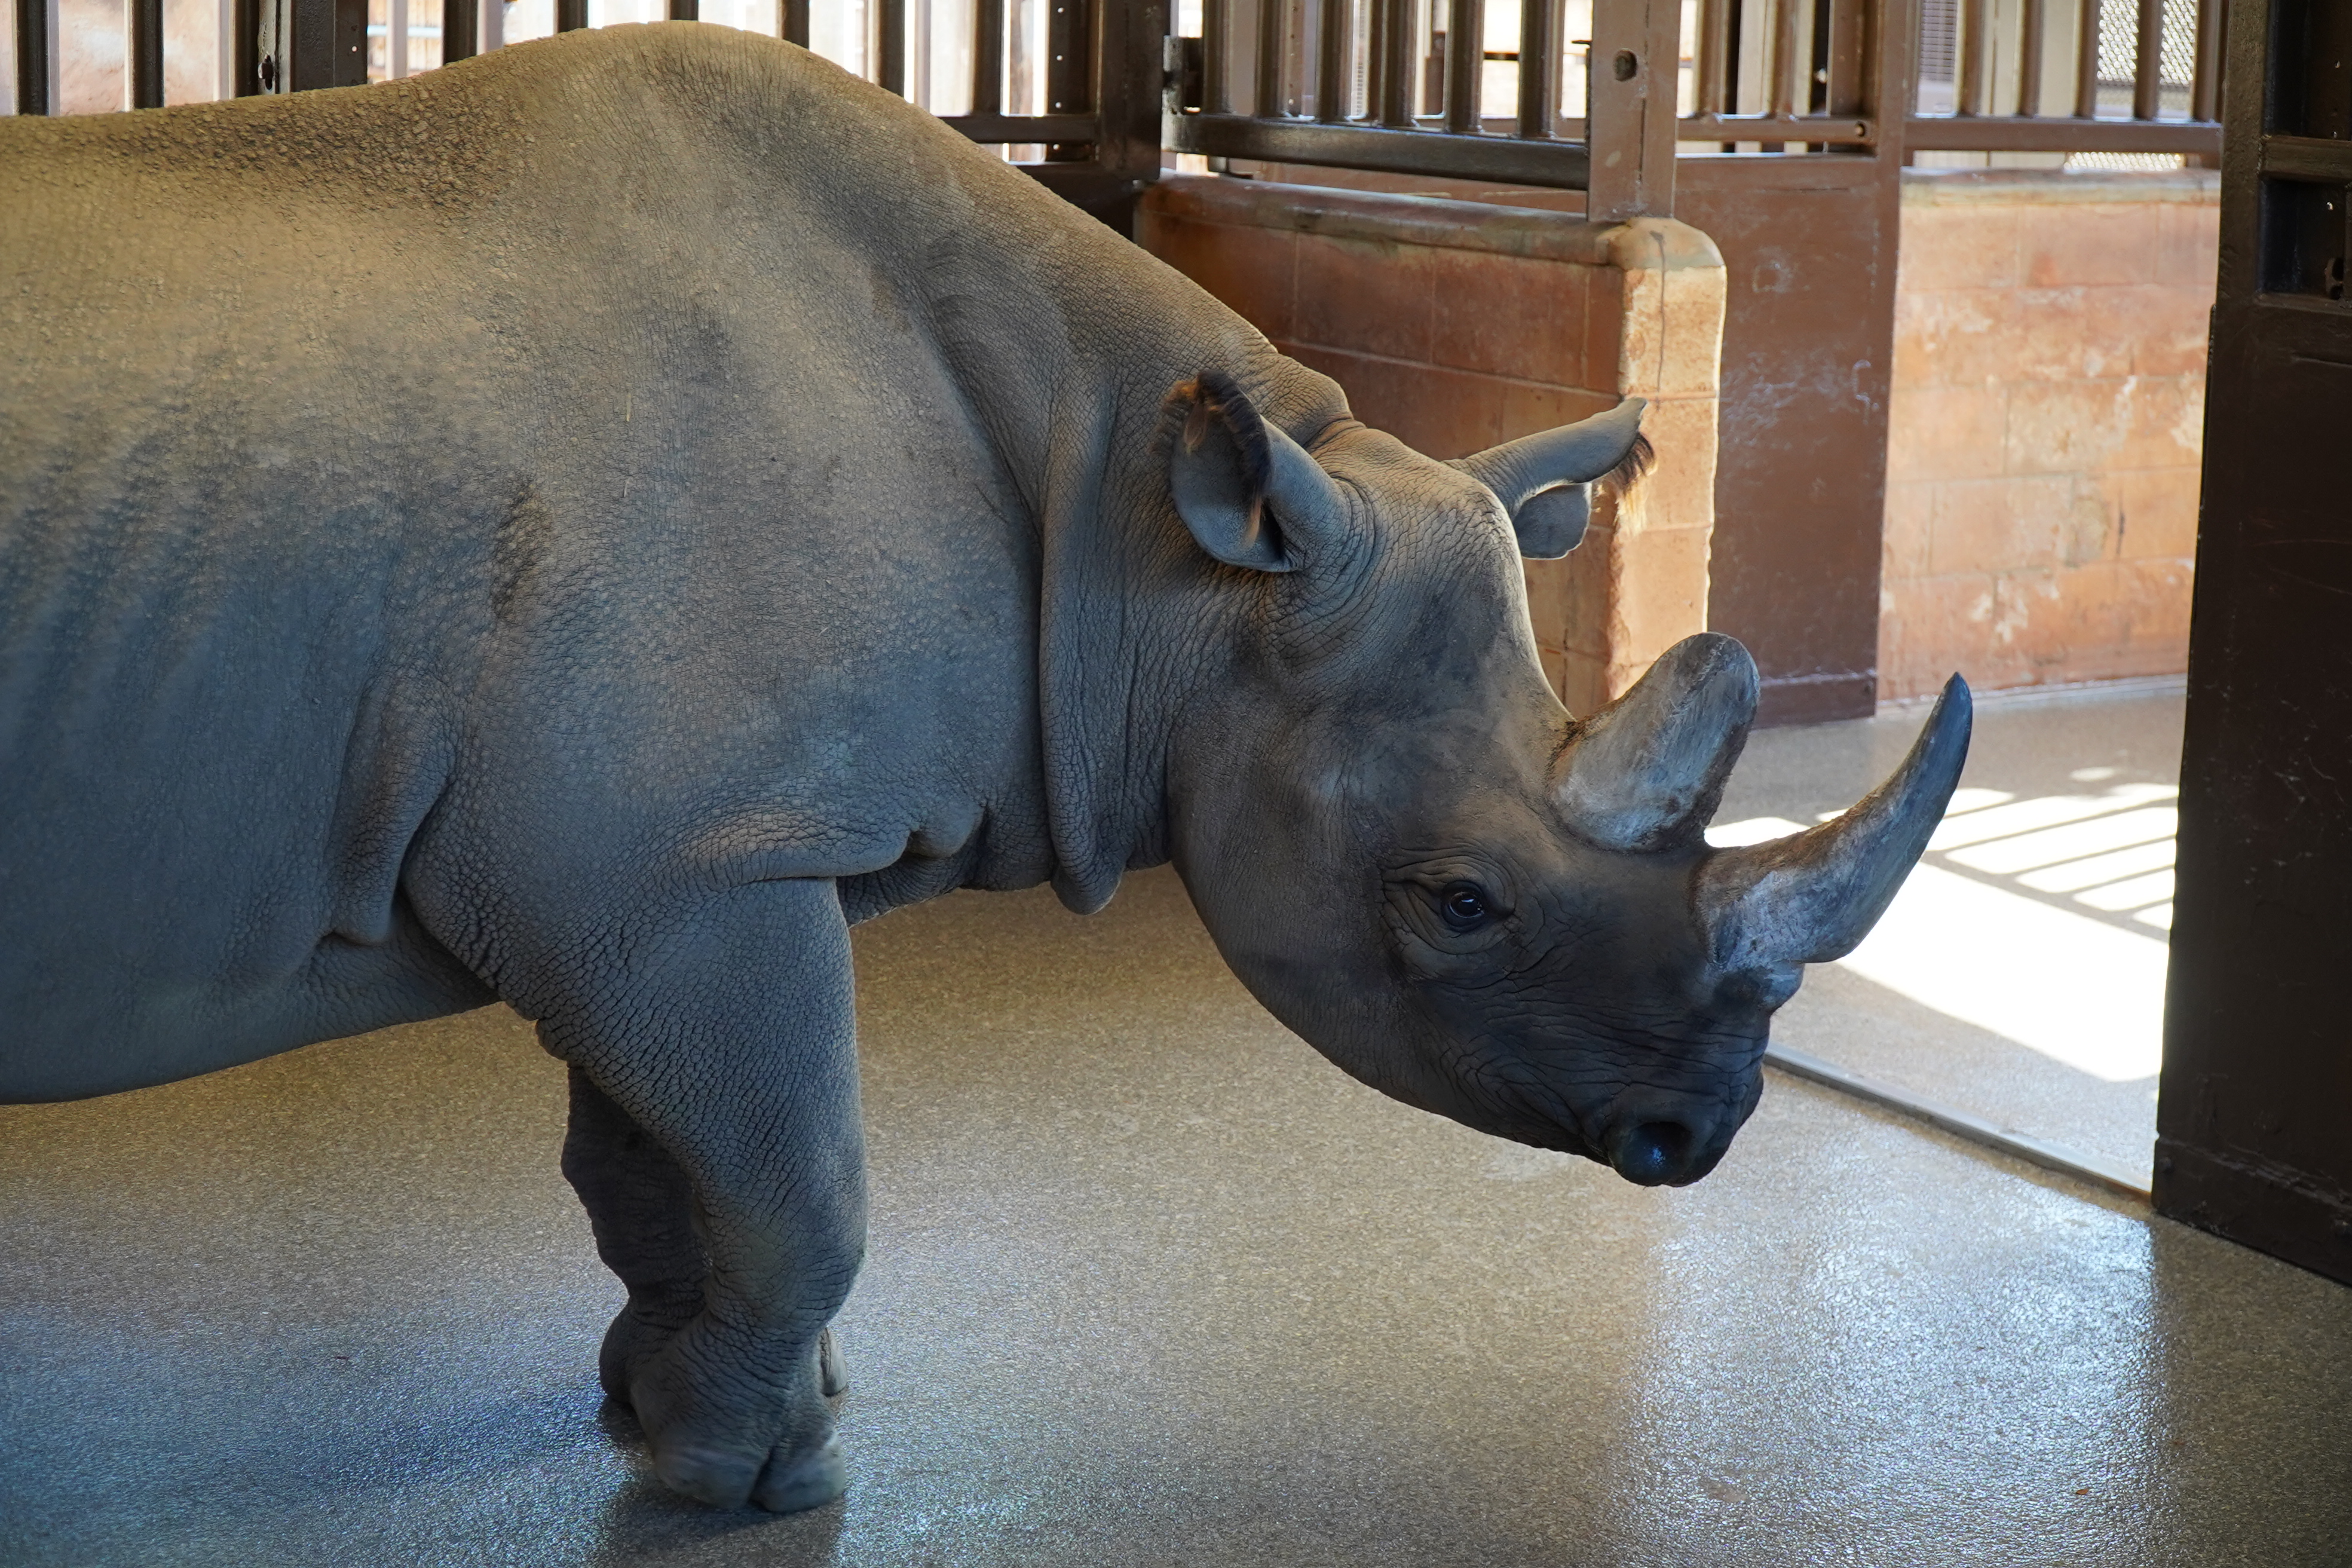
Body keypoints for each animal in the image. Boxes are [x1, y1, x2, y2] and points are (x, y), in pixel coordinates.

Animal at [0, 23, 1969, 1513]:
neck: (1160, 559)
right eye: (1462, 902)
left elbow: (665, 1164)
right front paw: (735, 1477)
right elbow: (804, 1184)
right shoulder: (672, 870)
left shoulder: (675, 855)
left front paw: (679, 1403)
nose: (1700, 1133)